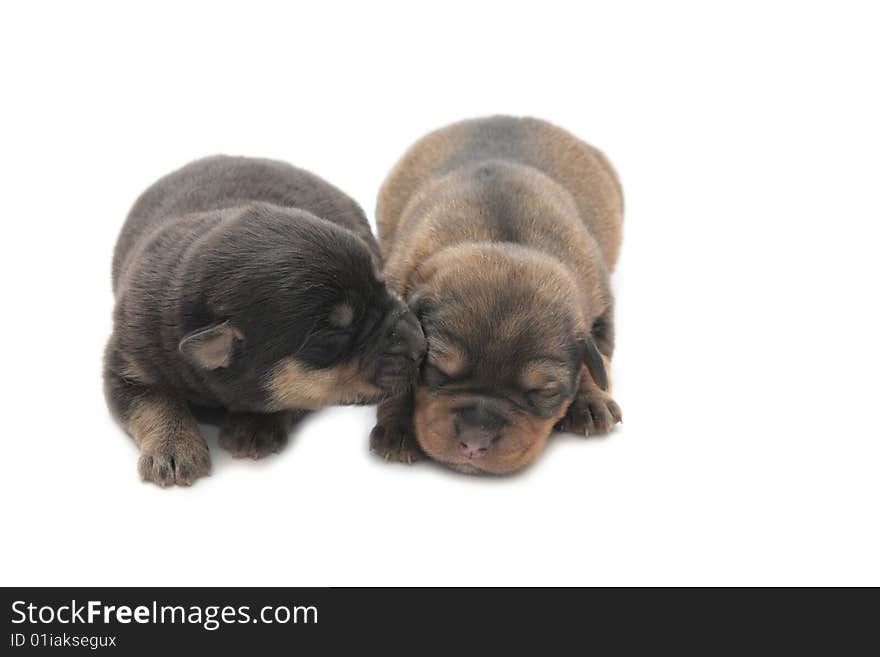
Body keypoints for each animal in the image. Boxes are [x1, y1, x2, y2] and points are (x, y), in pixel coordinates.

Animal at [105, 156, 428, 484]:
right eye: (333, 333)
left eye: (383, 285)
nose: (421, 344)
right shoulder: (125, 362)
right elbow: (153, 403)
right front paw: (174, 448)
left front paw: (255, 426)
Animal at [372, 114, 624, 472]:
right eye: (437, 369)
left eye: (542, 390)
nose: (474, 442)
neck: (501, 237)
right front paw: (397, 427)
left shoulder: (600, 310)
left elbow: (597, 360)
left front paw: (590, 401)